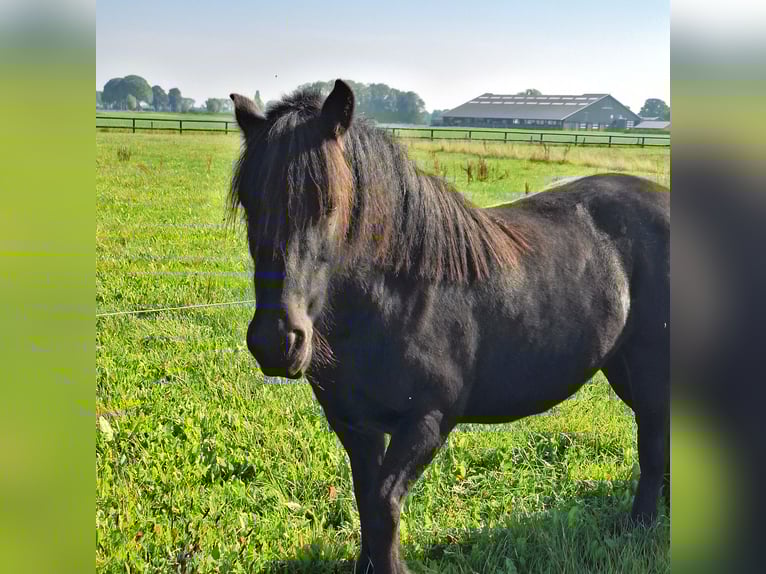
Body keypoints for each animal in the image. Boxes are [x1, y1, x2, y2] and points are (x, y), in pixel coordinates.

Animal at [227, 80, 669, 574]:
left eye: (329, 204)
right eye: (249, 203)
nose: (275, 342)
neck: (400, 294)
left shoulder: (427, 419)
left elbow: (382, 505)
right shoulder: (354, 424)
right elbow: (366, 500)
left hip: (651, 370)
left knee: (653, 446)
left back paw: (638, 530)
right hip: (623, 368)